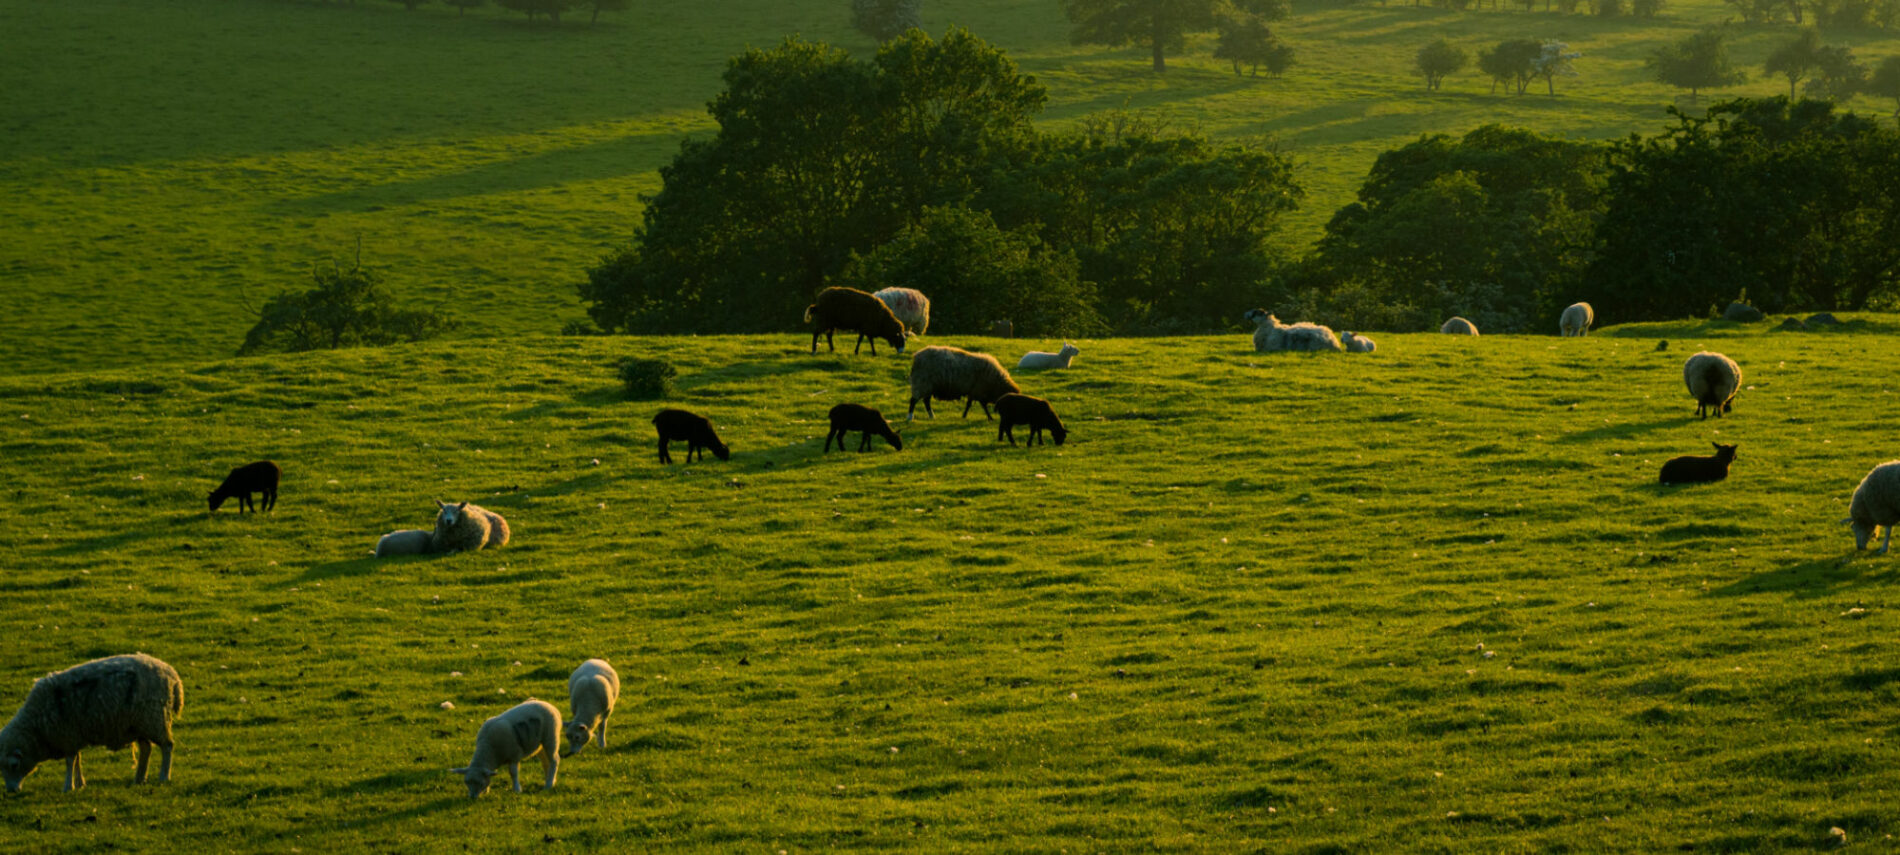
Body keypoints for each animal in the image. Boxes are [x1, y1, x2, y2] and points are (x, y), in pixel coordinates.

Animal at [0, 653, 183, 794]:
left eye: (14, 765)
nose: (12, 791)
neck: (36, 727)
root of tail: (172, 676)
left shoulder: (68, 736)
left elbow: (70, 761)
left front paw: (68, 787)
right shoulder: (74, 737)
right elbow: (77, 760)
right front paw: (80, 783)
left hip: (155, 719)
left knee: (167, 746)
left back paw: (164, 776)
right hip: (138, 724)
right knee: (146, 749)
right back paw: (139, 779)